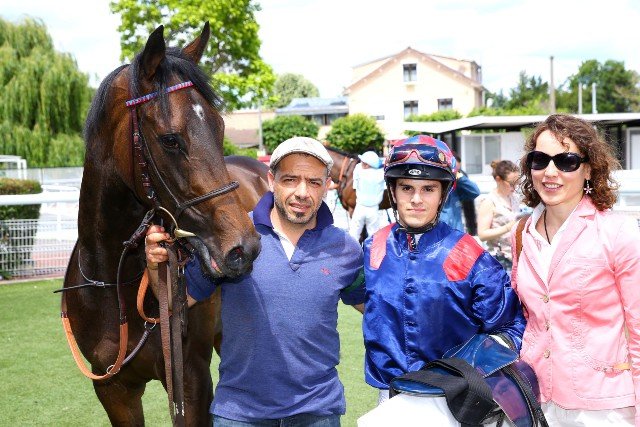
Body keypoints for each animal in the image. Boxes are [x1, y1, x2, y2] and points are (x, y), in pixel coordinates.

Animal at [61, 23, 267, 426]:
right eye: (170, 140)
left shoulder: (191, 378)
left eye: (220, 127)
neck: (115, 287)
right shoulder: (114, 389)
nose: (243, 248)